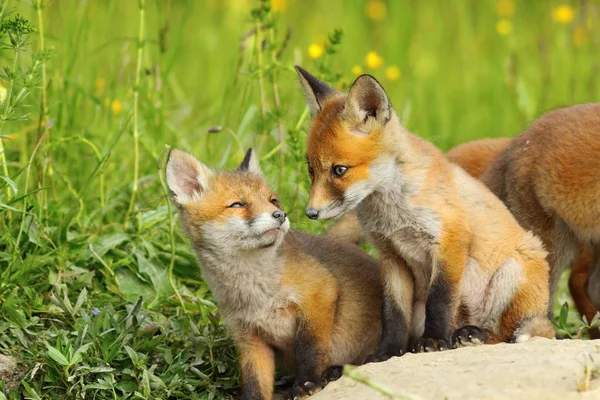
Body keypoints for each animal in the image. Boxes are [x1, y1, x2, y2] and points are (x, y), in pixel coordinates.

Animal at [165, 148, 380, 400]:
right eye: (237, 204)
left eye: (272, 200)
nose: (280, 214)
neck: (257, 294)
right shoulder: (249, 336)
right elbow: (254, 380)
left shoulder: (320, 292)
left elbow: (310, 349)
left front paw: (306, 383)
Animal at [296, 66, 552, 360]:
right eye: (311, 170)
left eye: (339, 170)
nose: (311, 213)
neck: (392, 213)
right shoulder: (391, 256)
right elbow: (393, 313)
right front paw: (388, 351)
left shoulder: (450, 239)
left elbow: (440, 299)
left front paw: (435, 340)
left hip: (512, 273)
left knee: (506, 334)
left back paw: (473, 335)